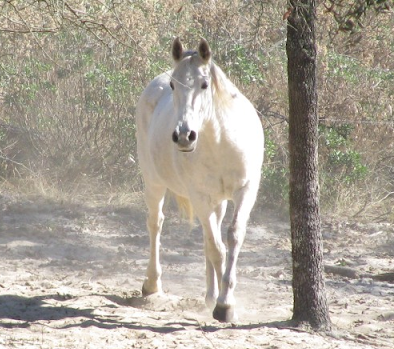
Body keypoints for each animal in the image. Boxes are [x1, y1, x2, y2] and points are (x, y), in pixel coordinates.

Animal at [135, 37, 264, 320]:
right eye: (174, 84)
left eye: (205, 84)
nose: (184, 136)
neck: (222, 142)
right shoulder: (200, 196)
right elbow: (217, 248)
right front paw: (225, 305)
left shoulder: (245, 191)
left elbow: (233, 237)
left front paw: (223, 298)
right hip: (154, 182)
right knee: (155, 223)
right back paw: (152, 284)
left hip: (218, 201)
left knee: (207, 236)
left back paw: (209, 294)